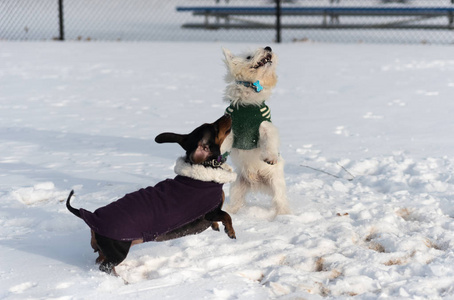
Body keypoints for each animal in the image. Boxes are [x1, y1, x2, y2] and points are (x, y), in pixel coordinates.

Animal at [223, 46, 290, 216]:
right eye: (248, 57)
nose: (268, 47)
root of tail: (257, 180)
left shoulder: (265, 125)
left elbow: (270, 140)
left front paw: (271, 157)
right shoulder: (229, 128)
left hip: (276, 183)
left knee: (280, 200)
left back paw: (284, 215)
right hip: (237, 186)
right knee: (236, 201)